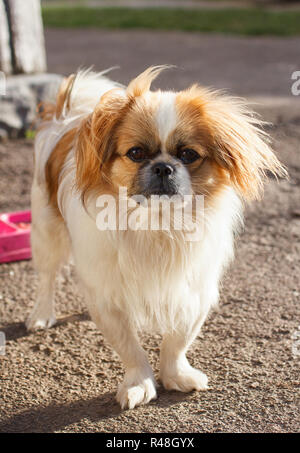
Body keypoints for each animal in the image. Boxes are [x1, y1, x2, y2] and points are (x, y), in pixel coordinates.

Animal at [26, 67, 286, 410]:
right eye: (136, 153)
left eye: (188, 154)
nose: (163, 167)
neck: (158, 223)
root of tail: (66, 116)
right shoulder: (108, 295)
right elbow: (129, 347)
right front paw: (140, 384)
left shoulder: (193, 289)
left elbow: (177, 341)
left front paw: (177, 376)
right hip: (47, 234)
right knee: (47, 278)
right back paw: (41, 315)